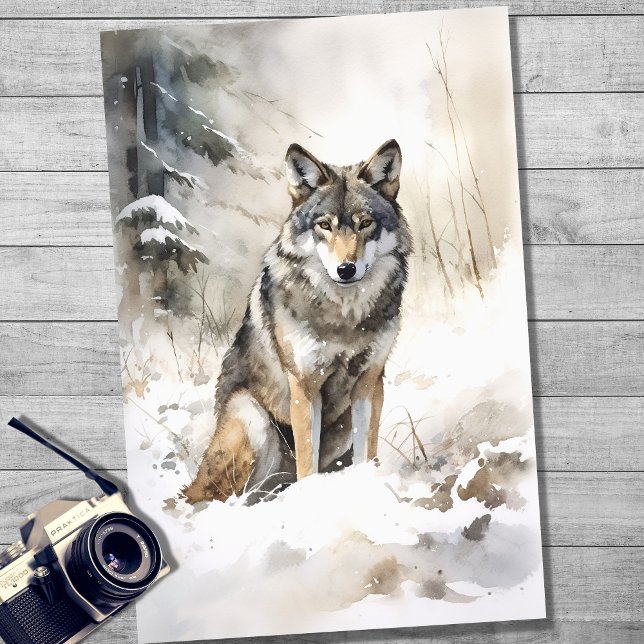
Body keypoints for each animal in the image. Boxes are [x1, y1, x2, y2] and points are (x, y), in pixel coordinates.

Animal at [182, 139, 412, 504]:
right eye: (324, 225)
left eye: (365, 223)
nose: (346, 269)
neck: (344, 316)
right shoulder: (304, 386)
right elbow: (308, 460)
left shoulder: (369, 383)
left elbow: (367, 454)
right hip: (252, 417)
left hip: (341, 426)